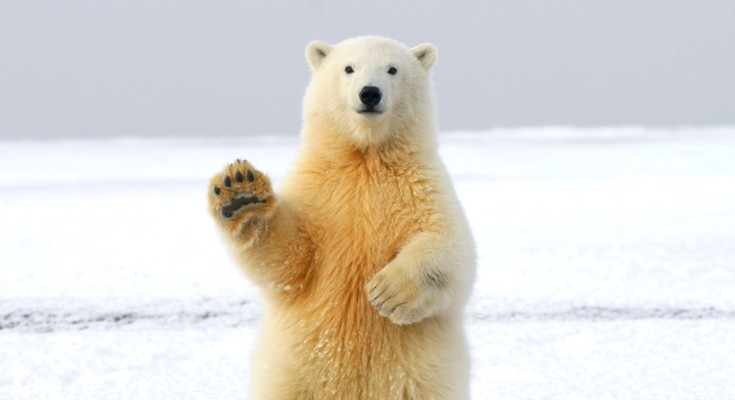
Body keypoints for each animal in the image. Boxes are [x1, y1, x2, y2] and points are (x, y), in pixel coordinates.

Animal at [208, 36, 476, 399]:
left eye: (392, 69)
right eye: (349, 68)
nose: (370, 93)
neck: (364, 158)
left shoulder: (422, 188)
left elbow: (451, 247)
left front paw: (386, 292)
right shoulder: (317, 192)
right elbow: (290, 260)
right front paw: (240, 192)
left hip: (420, 381)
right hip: (289, 376)